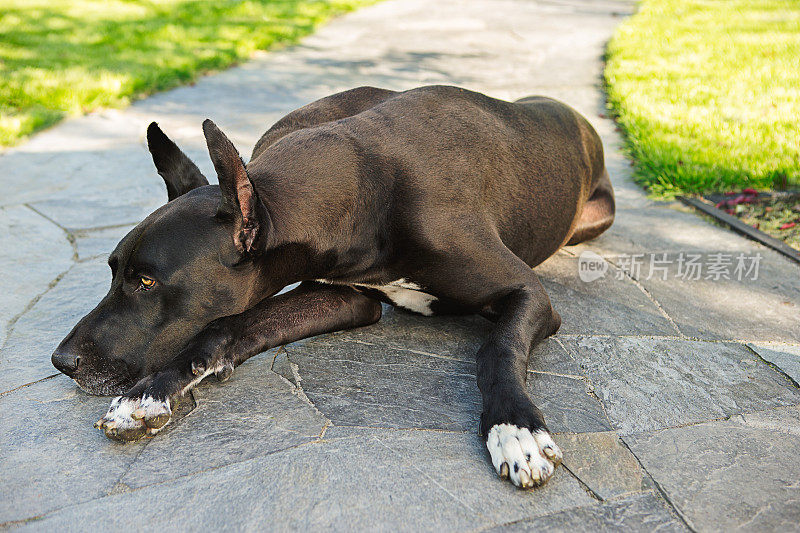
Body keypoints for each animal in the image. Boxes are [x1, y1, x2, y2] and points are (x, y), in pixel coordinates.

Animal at [51, 85, 612, 488]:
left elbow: (498, 347)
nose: (62, 361)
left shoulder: (529, 294)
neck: (364, 185)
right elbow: (232, 325)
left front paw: (514, 429)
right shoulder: (346, 297)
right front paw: (149, 394)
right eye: (113, 270)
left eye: (147, 281)